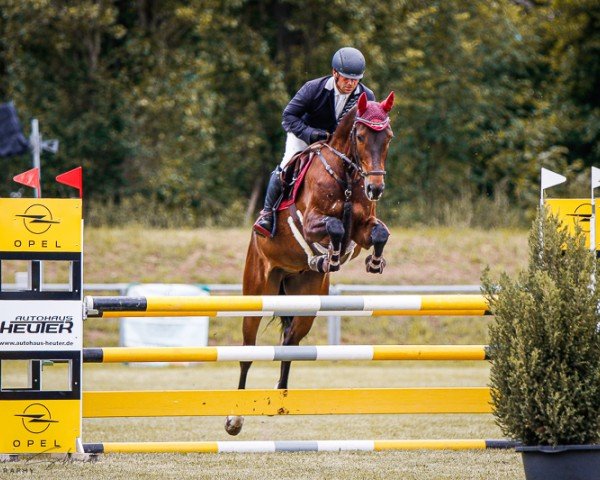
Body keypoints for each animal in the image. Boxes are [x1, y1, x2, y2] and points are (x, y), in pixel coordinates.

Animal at [225, 90, 394, 436]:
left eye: (387, 138)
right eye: (360, 135)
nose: (375, 188)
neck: (346, 176)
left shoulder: (363, 226)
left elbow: (378, 232)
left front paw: (373, 261)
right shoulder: (311, 221)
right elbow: (334, 227)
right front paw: (330, 253)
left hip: (307, 302)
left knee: (290, 342)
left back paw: (280, 398)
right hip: (257, 291)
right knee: (247, 350)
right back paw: (235, 419)